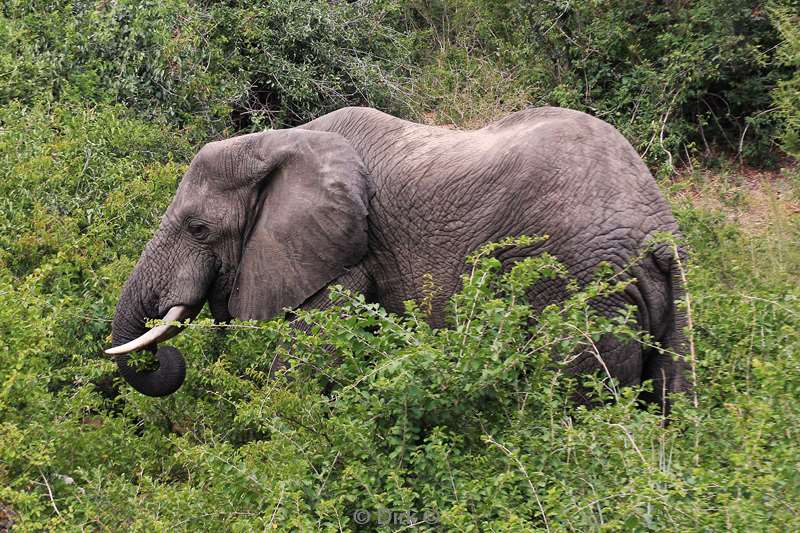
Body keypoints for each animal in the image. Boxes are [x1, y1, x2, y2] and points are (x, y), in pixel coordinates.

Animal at [106, 106, 688, 408]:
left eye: (198, 229)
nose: (165, 356)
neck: (278, 141)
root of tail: (658, 230)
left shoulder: (348, 255)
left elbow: (305, 357)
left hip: (583, 288)